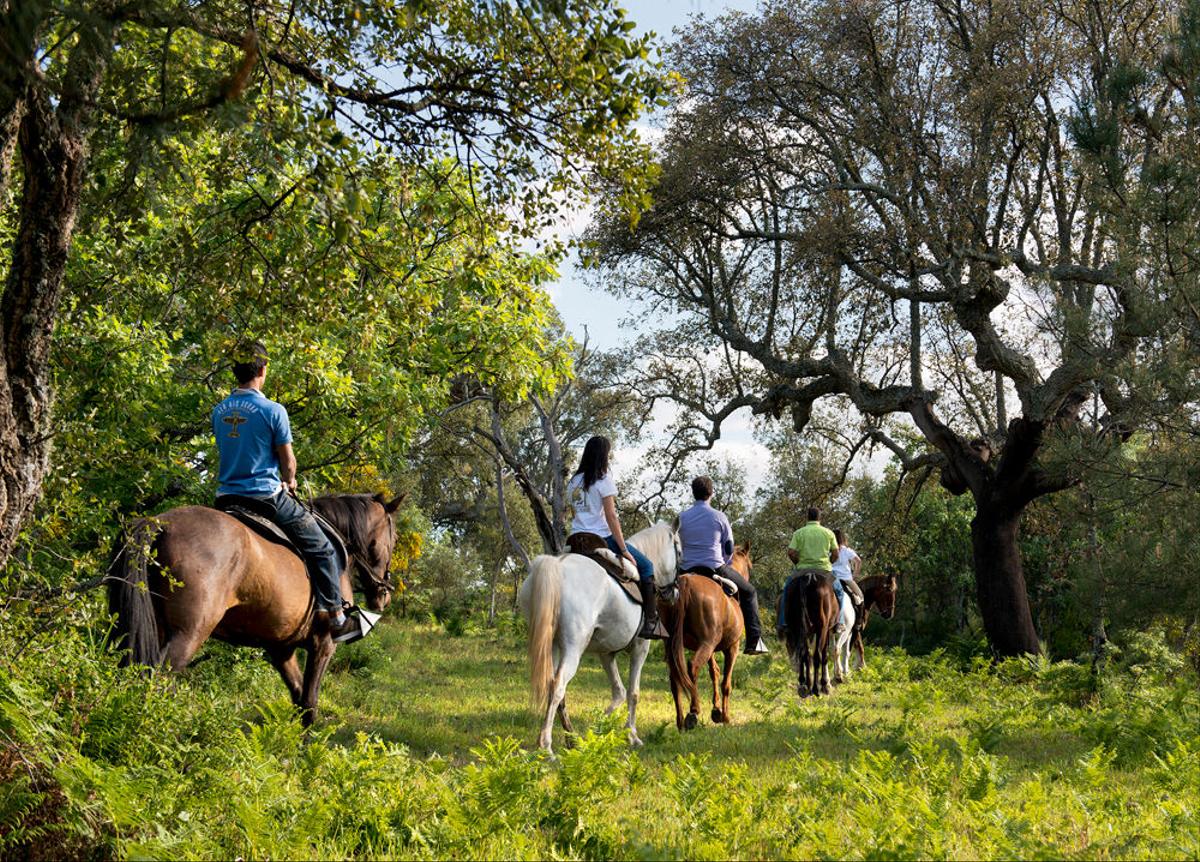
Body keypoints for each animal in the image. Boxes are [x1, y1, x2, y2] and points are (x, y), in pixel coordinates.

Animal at [106, 497, 403, 725]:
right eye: (394, 537)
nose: (384, 595)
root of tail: (159, 523)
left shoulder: (282, 649)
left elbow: (298, 698)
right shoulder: (324, 644)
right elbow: (309, 704)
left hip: (142, 629)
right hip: (188, 633)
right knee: (158, 680)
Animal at [518, 521, 681, 758]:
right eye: (680, 552)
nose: (674, 593)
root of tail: (557, 564)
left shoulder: (606, 653)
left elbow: (619, 691)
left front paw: (597, 729)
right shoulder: (641, 647)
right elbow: (633, 692)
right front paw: (632, 735)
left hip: (551, 645)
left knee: (554, 686)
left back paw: (571, 738)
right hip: (573, 647)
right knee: (558, 686)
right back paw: (547, 745)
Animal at [657, 547, 748, 729]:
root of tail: (685, 582)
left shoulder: (710, 648)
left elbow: (714, 672)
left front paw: (716, 710)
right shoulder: (732, 647)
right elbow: (726, 683)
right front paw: (725, 717)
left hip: (674, 644)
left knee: (675, 677)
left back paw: (680, 721)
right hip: (707, 644)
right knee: (692, 667)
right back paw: (693, 712)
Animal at [782, 571, 840, 701]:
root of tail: (808, 578)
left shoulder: (809, 633)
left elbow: (807, 654)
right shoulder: (825, 631)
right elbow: (824, 654)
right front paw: (825, 685)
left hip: (799, 628)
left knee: (804, 654)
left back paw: (804, 686)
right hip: (821, 628)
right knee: (816, 655)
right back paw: (815, 688)